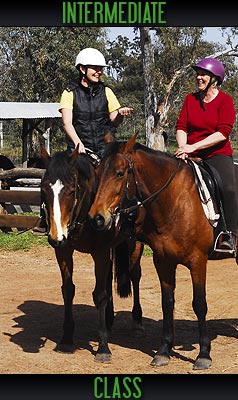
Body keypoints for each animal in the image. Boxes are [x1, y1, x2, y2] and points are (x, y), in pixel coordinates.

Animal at [40, 147, 144, 362]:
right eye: (44, 189)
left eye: (72, 190)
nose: (55, 237)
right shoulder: (63, 250)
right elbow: (68, 290)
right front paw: (66, 338)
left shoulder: (101, 252)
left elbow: (100, 295)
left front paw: (103, 347)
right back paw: (109, 319)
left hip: (135, 243)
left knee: (134, 275)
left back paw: (137, 321)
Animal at [88, 135, 238, 372]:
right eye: (99, 170)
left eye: (120, 173)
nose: (97, 217)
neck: (176, 201)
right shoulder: (163, 261)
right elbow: (167, 303)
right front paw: (164, 351)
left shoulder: (198, 261)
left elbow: (200, 304)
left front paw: (204, 354)